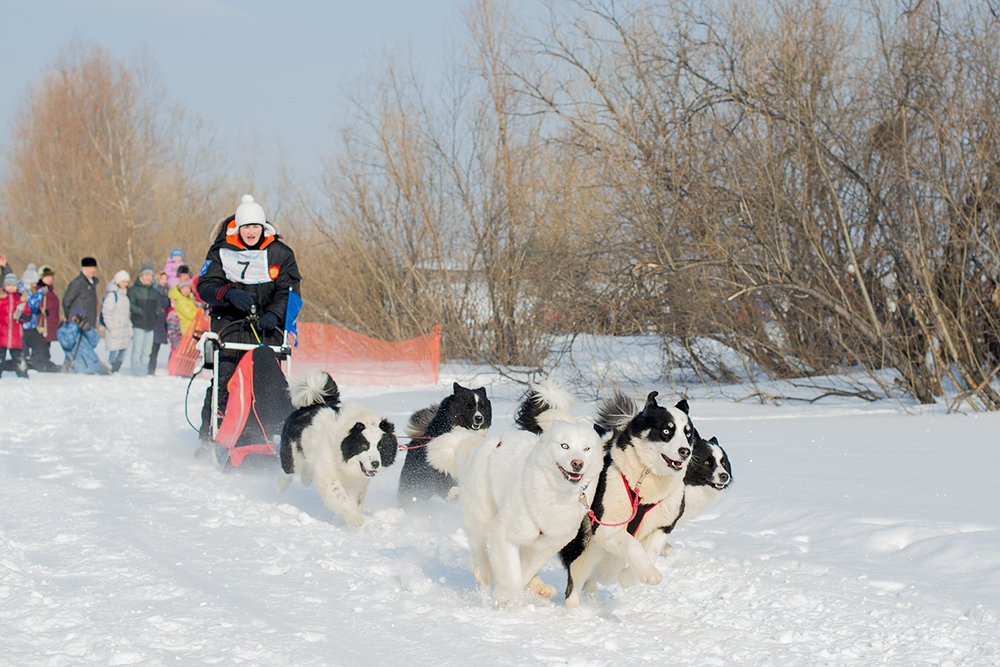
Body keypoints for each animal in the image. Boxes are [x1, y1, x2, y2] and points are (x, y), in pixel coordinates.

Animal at [278, 368, 398, 528]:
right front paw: (355, 518)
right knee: (288, 471)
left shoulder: (357, 483)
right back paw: (280, 488)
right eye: (364, 445)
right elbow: (341, 497)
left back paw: (305, 478)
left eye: (381, 446)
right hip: (293, 454)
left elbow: (355, 500)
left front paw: (350, 521)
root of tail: (310, 405)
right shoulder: (329, 476)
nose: (375, 463)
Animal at [428, 380, 600, 604]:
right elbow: (511, 574)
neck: (556, 493)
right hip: (481, 512)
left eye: (587, 449)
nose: (577, 463)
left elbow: (525, 570)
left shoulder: (546, 544)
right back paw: (483, 571)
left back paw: (539, 586)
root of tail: (482, 443)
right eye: (565, 445)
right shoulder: (504, 533)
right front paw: (503, 595)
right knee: (477, 543)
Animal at [556, 388, 696, 608]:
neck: (645, 483)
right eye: (666, 431)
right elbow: (633, 545)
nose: (685, 451)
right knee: (575, 581)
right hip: (583, 548)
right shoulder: (606, 527)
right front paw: (649, 573)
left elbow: (652, 552)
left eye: (688, 433)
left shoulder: (664, 525)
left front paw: (631, 576)